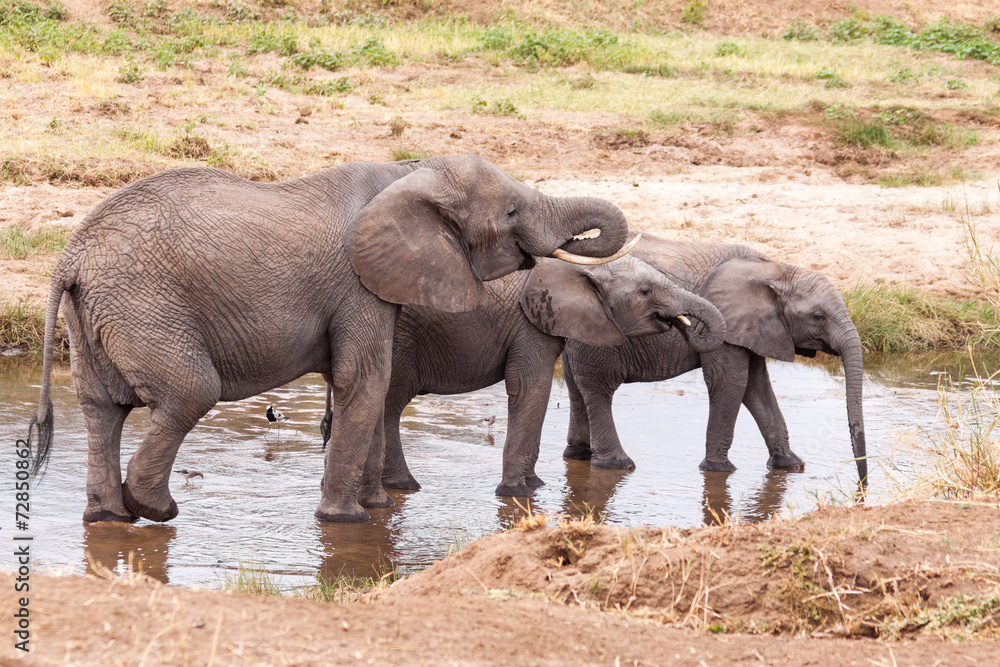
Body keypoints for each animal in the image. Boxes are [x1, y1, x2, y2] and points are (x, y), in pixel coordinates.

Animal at [26, 152, 634, 524]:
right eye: (510, 211)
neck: (407, 170)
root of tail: (69, 258)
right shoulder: (357, 284)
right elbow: (365, 379)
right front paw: (349, 520)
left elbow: (373, 383)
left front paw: (377, 509)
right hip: (145, 307)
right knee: (189, 392)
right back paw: (154, 510)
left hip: (97, 315)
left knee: (102, 409)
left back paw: (108, 518)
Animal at [321, 253, 727, 497]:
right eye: (645, 291)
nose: (683, 324)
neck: (583, 268)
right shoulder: (530, 326)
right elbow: (531, 388)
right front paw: (521, 493)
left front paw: (532, 485)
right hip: (397, 339)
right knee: (389, 402)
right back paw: (404, 487)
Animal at [561, 233, 867, 487]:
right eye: (818, 317)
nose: (862, 486)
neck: (777, 269)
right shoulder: (731, 326)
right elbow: (731, 382)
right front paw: (719, 470)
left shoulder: (754, 329)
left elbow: (756, 387)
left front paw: (791, 467)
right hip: (595, 332)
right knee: (599, 388)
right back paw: (616, 465)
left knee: (575, 388)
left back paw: (577, 457)